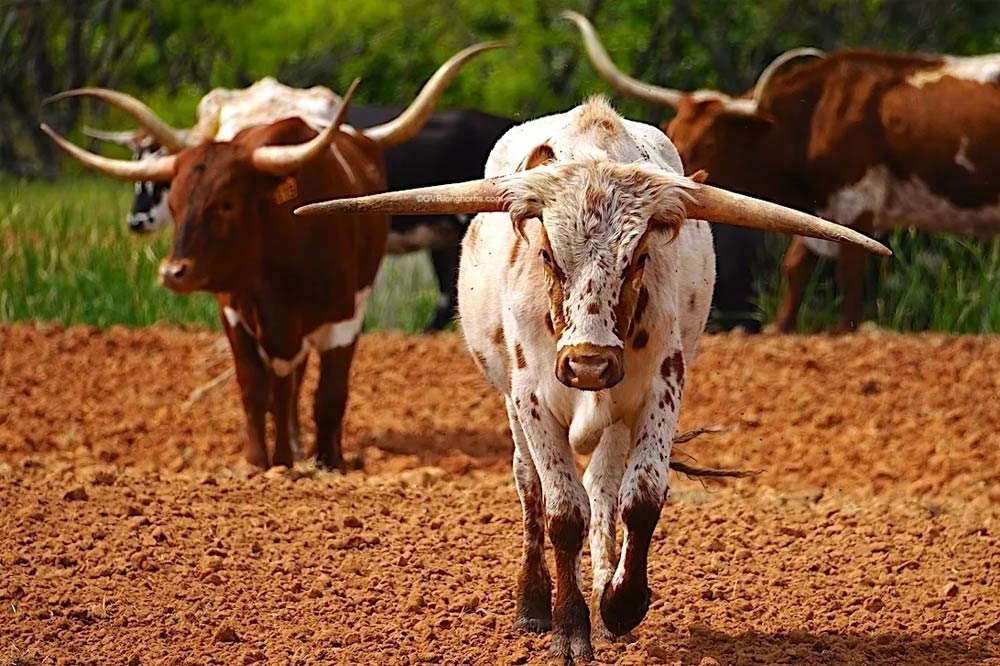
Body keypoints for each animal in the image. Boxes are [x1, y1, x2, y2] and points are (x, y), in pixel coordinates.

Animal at [44, 44, 500, 466]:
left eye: (226, 203)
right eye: (175, 201)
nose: (173, 272)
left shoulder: (345, 316)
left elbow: (328, 392)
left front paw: (327, 462)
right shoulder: (238, 314)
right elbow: (256, 388)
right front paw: (265, 462)